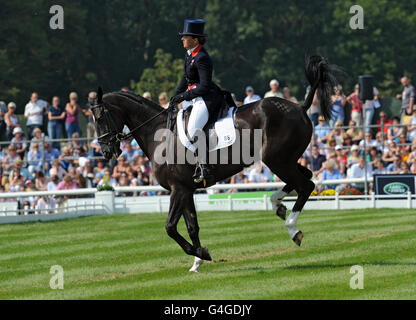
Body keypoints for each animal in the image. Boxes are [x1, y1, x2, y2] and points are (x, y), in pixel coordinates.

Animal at [91, 56, 338, 272]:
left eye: (100, 118)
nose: (107, 151)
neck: (159, 135)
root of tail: (299, 107)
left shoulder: (178, 189)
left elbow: (170, 227)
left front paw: (202, 253)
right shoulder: (186, 189)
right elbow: (192, 226)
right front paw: (198, 261)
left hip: (276, 160)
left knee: (305, 185)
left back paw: (293, 229)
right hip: (286, 159)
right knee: (305, 177)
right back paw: (277, 204)